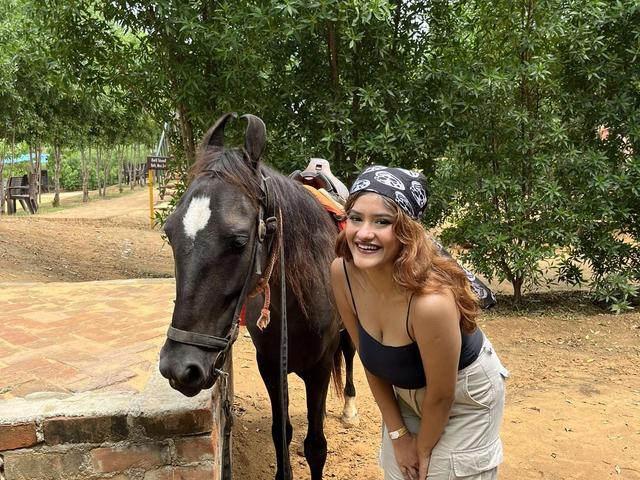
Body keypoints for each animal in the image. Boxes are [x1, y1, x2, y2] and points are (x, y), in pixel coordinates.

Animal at [159, 112, 358, 480]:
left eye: (239, 241)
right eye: (170, 232)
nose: (179, 368)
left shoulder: (321, 365)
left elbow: (315, 446)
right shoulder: (270, 364)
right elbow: (282, 433)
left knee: (349, 354)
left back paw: (349, 407)